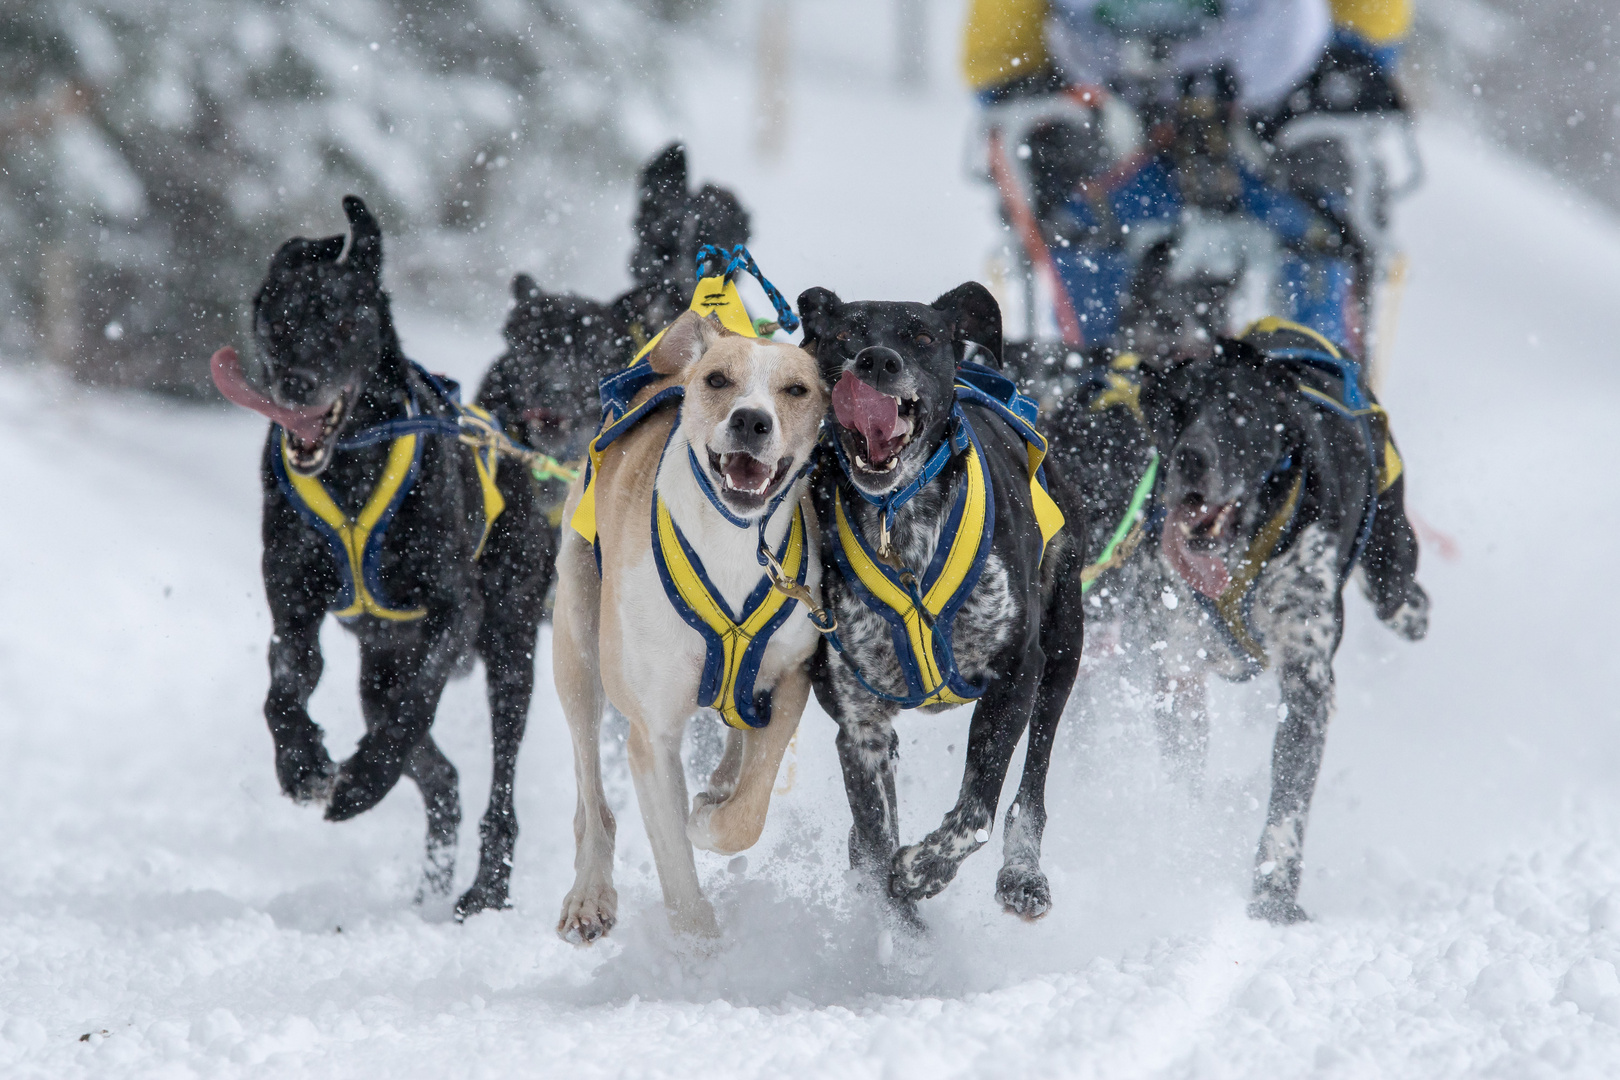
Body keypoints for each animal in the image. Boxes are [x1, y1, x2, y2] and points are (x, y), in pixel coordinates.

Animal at [246, 196, 550, 919]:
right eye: (278, 318)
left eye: (340, 320)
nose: (296, 382)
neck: (349, 471)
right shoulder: (293, 613)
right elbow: (283, 689)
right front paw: (302, 764)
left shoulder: (453, 609)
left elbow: (417, 704)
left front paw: (359, 782)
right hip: (376, 676)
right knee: (442, 777)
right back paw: (429, 886)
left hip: (511, 647)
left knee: (494, 780)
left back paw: (486, 888)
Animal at [554, 310, 829, 939]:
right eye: (718, 379)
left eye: (796, 389)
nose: (751, 419)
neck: (731, 540)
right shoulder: (650, 734)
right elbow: (678, 873)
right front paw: (700, 949)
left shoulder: (791, 676)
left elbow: (746, 811)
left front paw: (712, 814)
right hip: (578, 645)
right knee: (589, 793)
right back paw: (590, 891)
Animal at [797, 281, 1088, 932]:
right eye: (843, 334)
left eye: (924, 336)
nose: (877, 361)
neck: (898, 521)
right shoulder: (859, 726)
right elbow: (876, 837)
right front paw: (901, 924)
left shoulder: (1015, 676)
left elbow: (975, 813)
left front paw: (920, 870)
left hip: (1063, 649)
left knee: (1032, 783)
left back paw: (1022, 873)